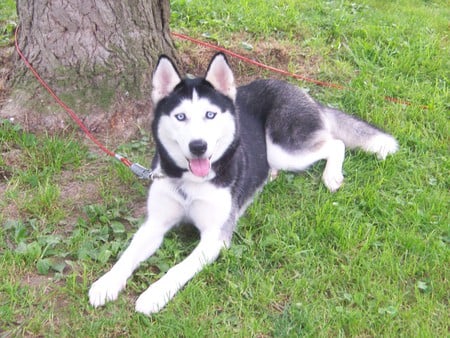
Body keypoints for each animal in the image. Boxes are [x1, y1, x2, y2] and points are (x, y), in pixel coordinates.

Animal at [89, 52, 398, 314]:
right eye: (180, 117)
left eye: (210, 114)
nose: (198, 146)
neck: (189, 182)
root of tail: (294, 87)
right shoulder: (155, 223)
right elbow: (128, 254)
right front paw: (107, 282)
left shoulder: (215, 237)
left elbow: (178, 268)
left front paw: (154, 294)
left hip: (283, 148)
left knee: (335, 143)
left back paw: (331, 175)